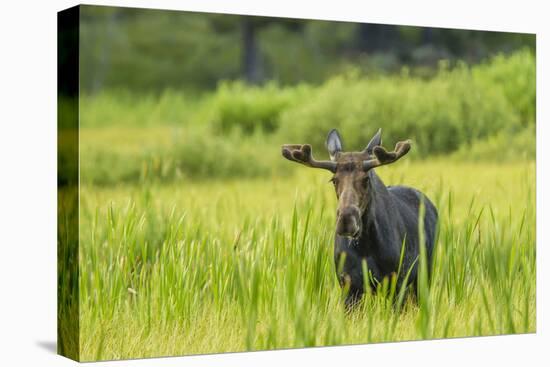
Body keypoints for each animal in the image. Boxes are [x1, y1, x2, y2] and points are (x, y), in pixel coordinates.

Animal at [284, 129, 440, 310]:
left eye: (366, 179)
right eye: (334, 180)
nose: (346, 220)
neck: (366, 246)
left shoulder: (395, 283)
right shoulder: (349, 287)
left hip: (423, 274)